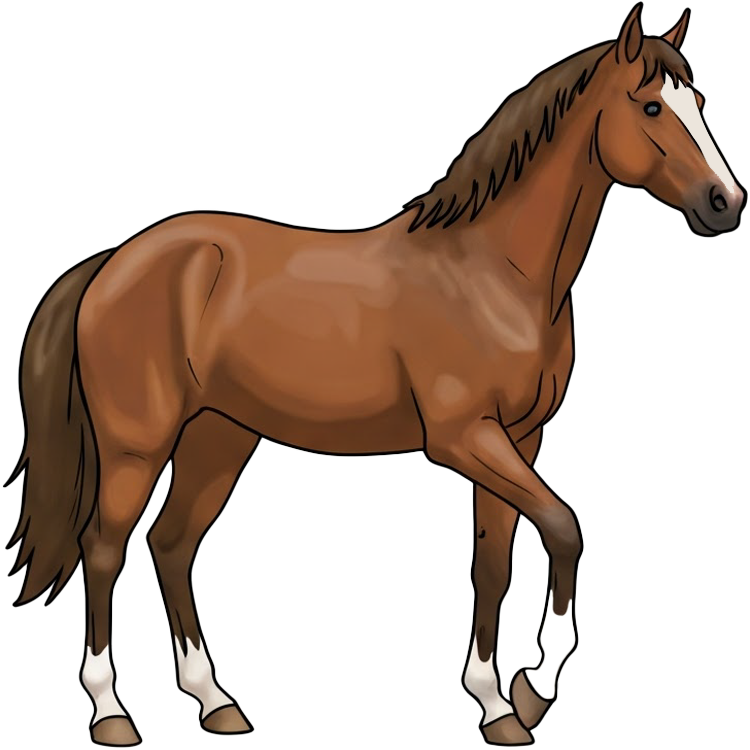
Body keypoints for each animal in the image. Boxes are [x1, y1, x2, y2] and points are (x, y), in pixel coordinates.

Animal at [4, 3, 745, 747]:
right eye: (650, 105)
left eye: (702, 103)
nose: (726, 203)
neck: (492, 273)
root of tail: (114, 261)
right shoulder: (465, 439)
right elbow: (566, 528)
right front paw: (535, 686)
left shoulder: (520, 441)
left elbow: (492, 566)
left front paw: (498, 706)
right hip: (137, 444)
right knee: (106, 548)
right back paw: (111, 713)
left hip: (219, 436)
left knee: (172, 544)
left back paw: (215, 701)